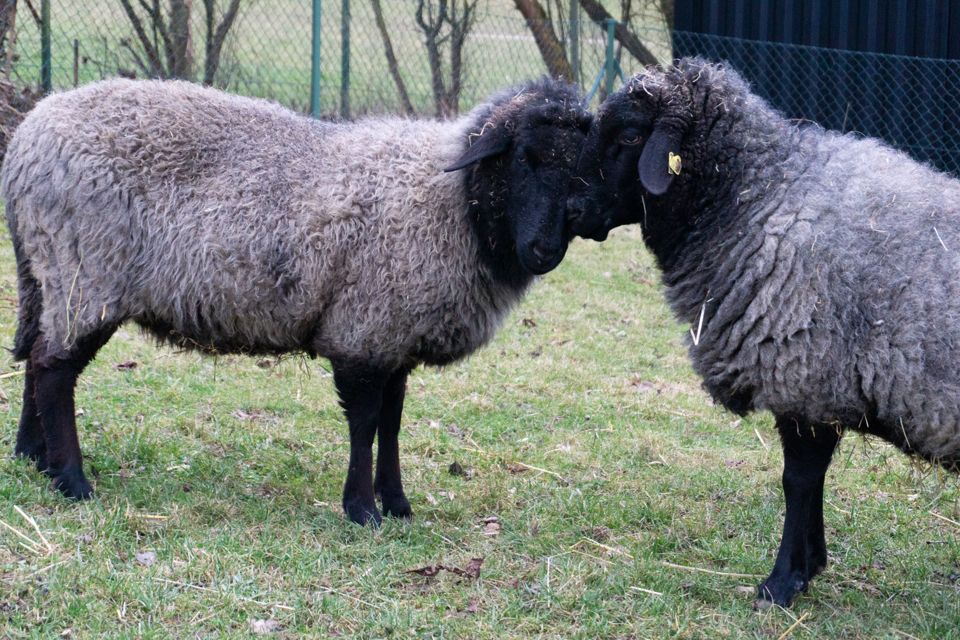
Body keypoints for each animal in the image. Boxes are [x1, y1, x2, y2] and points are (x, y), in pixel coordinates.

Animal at [3, 76, 592, 524]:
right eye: (523, 158)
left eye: (581, 171)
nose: (545, 250)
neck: (450, 199)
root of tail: (27, 138)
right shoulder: (362, 330)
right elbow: (365, 423)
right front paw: (362, 510)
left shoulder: (393, 335)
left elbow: (393, 422)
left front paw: (397, 504)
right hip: (86, 274)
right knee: (54, 368)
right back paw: (72, 480)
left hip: (45, 273)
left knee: (35, 355)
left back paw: (34, 457)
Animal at [568, 60, 960, 608]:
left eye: (627, 134)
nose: (570, 209)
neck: (758, 193)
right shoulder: (815, 388)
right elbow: (811, 483)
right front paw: (812, 564)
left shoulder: (804, 376)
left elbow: (798, 481)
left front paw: (783, 582)